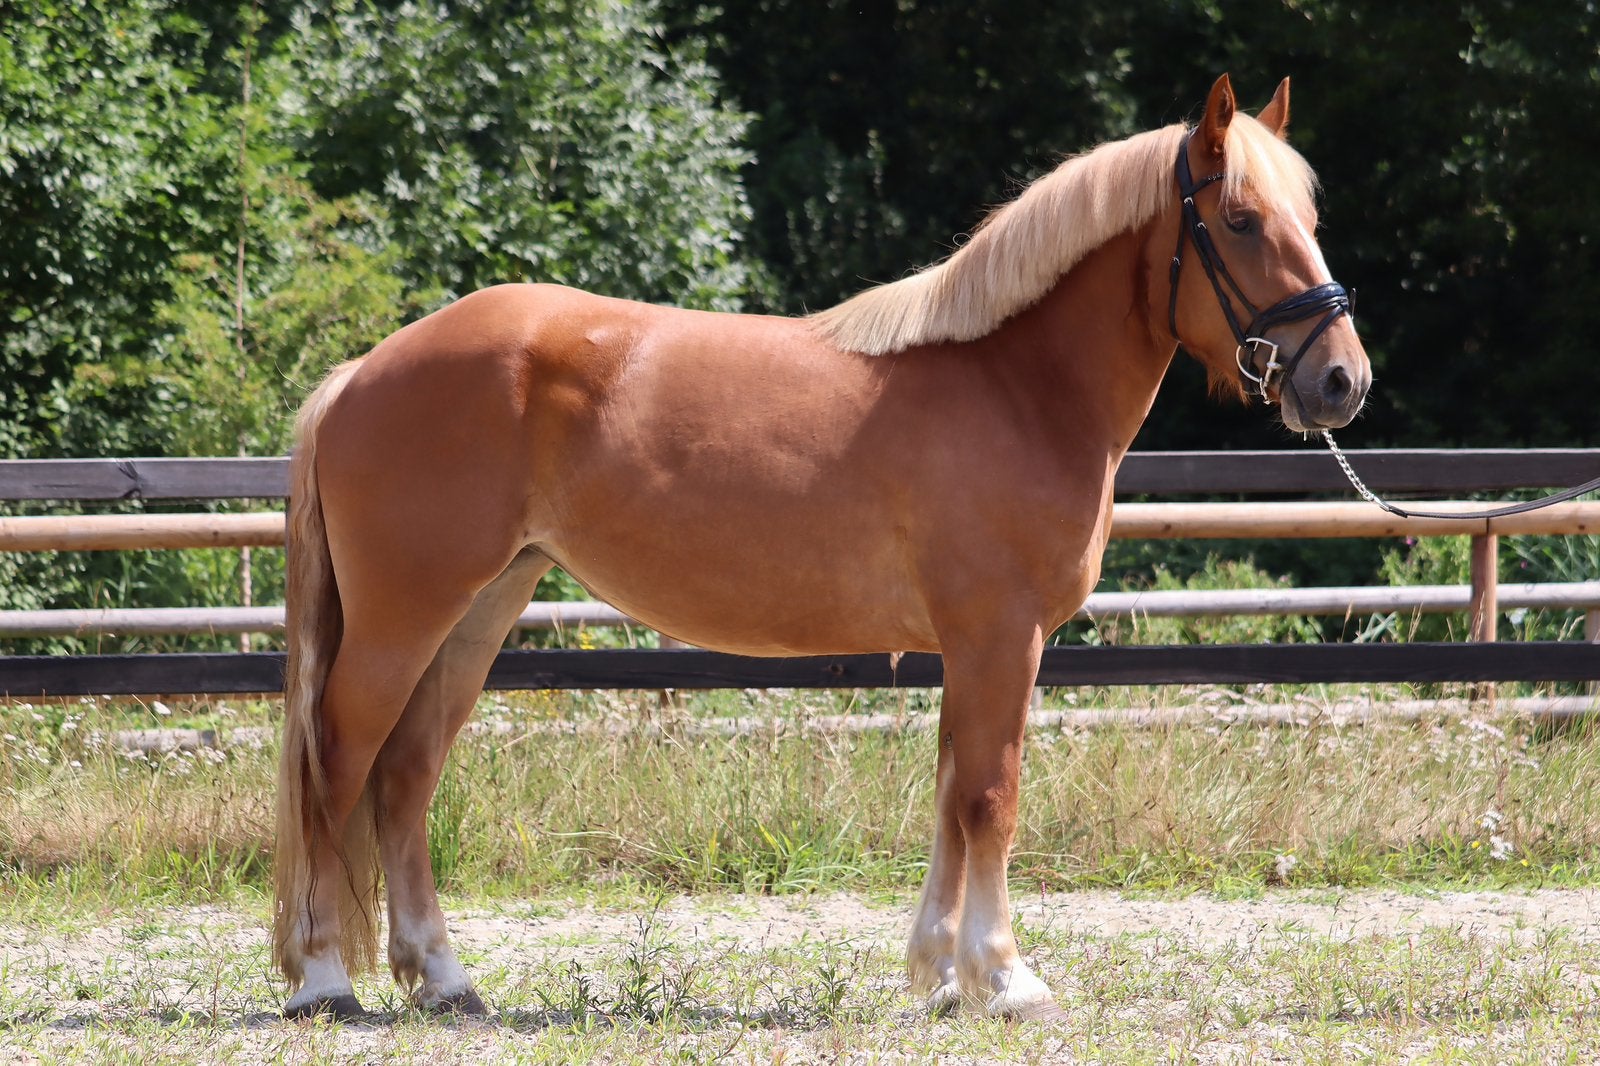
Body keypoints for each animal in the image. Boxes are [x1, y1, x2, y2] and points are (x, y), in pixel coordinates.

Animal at [272, 74, 1369, 1021]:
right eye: (1240, 220)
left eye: (1311, 220)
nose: (1341, 382)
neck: (1016, 385)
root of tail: (362, 371)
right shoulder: (999, 636)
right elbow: (990, 796)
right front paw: (1005, 979)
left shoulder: (971, 649)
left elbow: (950, 792)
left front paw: (939, 974)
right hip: (403, 619)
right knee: (339, 763)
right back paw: (324, 979)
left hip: (479, 610)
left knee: (406, 775)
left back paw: (444, 978)